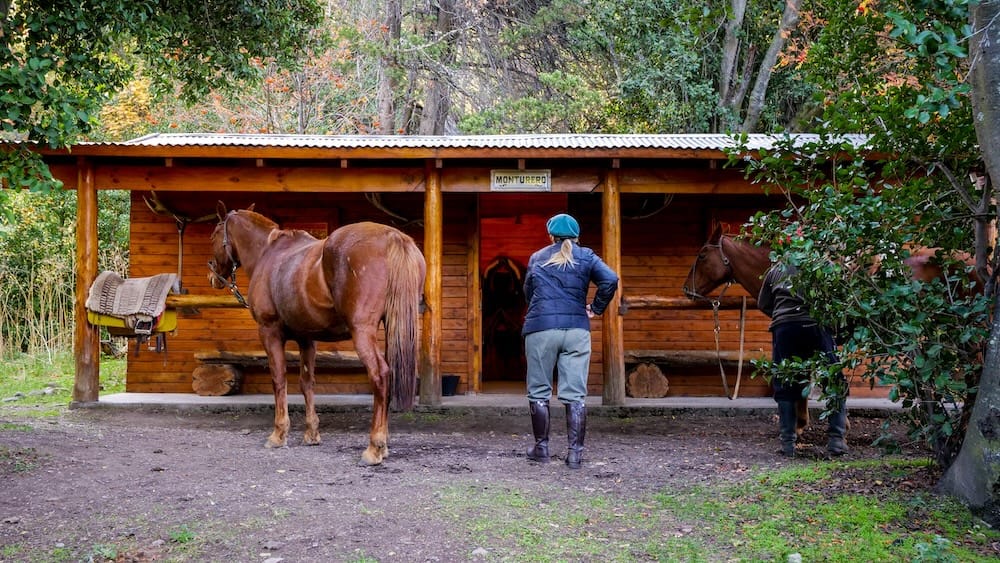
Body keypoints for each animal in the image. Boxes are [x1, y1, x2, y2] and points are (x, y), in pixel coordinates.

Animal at [207, 204, 426, 466]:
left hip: (362, 331)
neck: (268, 253)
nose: (213, 275)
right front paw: (311, 433)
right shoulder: (307, 339)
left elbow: (278, 379)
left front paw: (278, 434)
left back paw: (375, 447)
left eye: (214, 235)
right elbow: (306, 383)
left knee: (380, 375)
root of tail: (393, 237)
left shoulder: (269, 332)